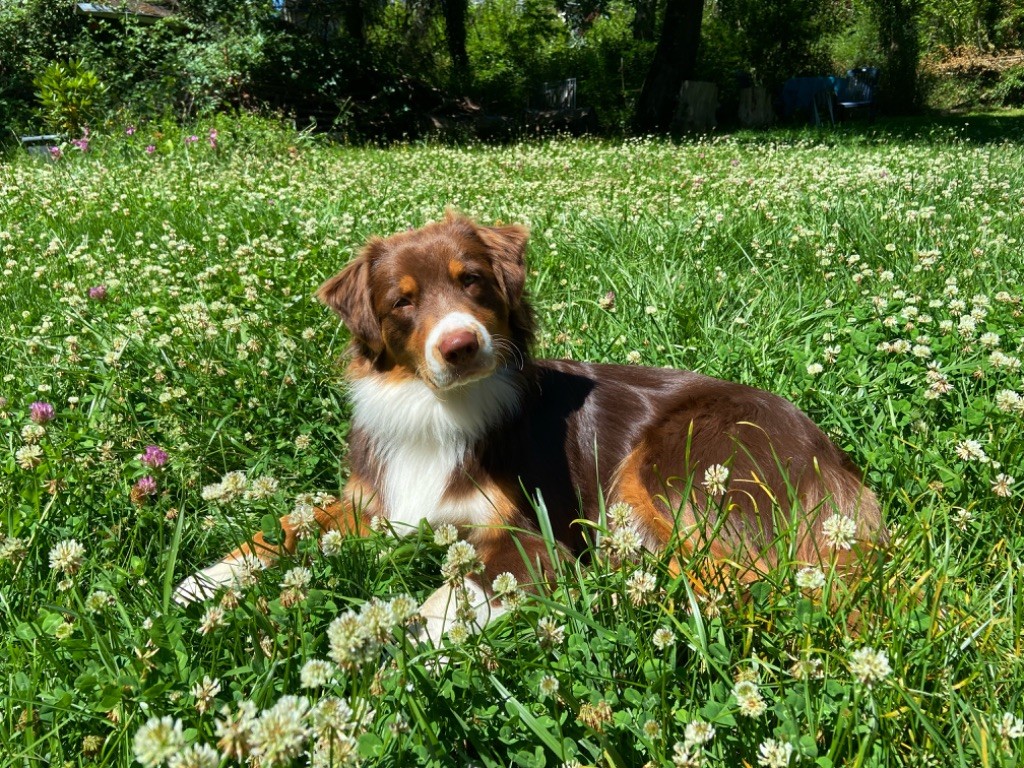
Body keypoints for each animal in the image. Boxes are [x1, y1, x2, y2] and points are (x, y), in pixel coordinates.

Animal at [172, 211, 884, 643]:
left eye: (473, 281)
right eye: (402, 302)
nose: (460, 345)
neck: (437, 409)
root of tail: (830, 452)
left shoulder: (534, 533)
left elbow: (456, 599)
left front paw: (392, 667)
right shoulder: (371, 502)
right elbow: (284, 524)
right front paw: (203, 582)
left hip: (672, 470)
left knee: (756, 583)